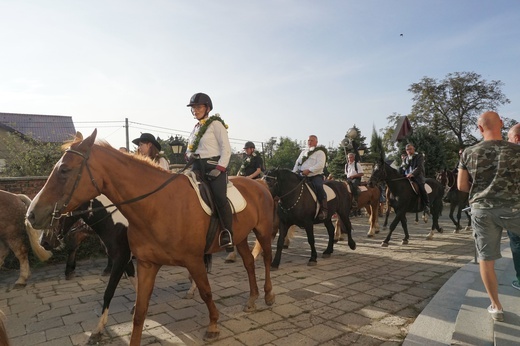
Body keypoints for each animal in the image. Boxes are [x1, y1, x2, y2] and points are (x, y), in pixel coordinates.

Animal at [27, 130, 276, 346]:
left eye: (64, 170)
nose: (31, 215)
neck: (156, 206)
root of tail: (260, 184)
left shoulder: (186, 259)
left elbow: (206, 292)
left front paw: (213, 325)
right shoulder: (146, 263)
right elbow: (139, 310)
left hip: (262, 232)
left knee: (265, 260)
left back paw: (268, 295)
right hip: (241, 237)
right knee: (249, 263)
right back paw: (252, 299)